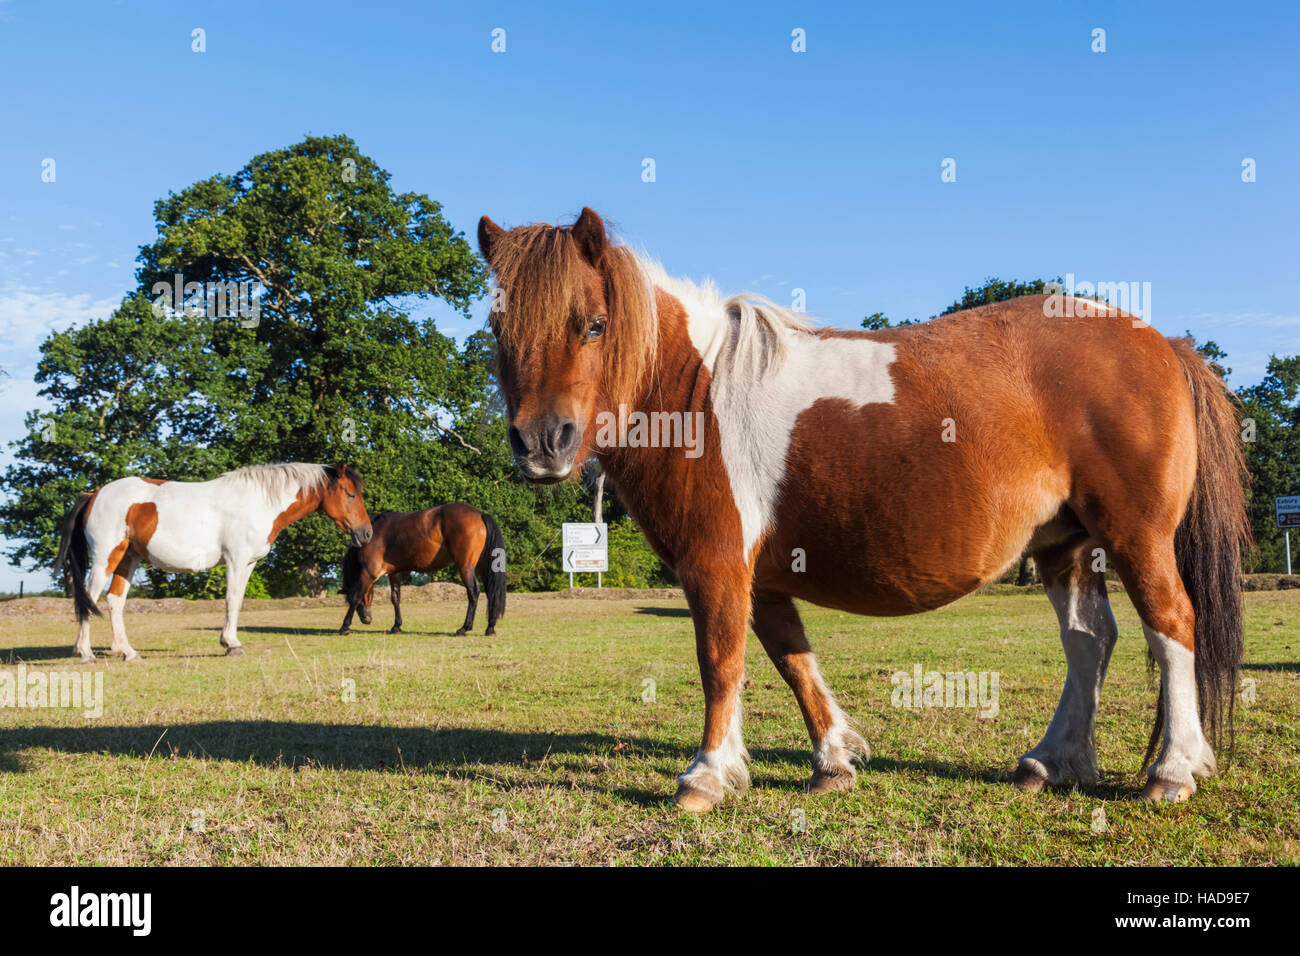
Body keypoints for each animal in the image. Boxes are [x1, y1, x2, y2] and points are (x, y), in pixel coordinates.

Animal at [52, 463, 372, 662]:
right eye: (350, 494)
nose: (366, 533)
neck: (258, 502)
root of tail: (94, 494)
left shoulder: (248, 564)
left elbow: (238, 600)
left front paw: (230, 642)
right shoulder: (236, 560)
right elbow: (231, 600)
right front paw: (232, 644)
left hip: (127, 559)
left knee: (114, 601)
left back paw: (127, 652)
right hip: (106, 557)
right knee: (88, 597)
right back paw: (85, 653)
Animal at [338, 504, 507, 637]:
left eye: (347, 595)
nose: (366, 619)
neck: (374, 534)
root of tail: (480, 514)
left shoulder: (369, 572)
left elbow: (356, 596)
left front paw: (345, 627)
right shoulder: (394, 573)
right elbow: (395, 598)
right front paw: (396, 626)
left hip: (465, 566)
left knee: (473, 593)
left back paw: (464, 628)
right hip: (482, 567)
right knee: (491, 592)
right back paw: (490, 628)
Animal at [476, 207, 1250, 813]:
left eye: (594, 324)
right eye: (496, 330)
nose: (542, 442)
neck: (694, 392)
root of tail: (1163, 344)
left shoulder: (716, 565)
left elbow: (721, 663)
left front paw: (707, 775)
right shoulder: (763, 577)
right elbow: (793, 660)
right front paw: (833, 761)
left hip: (1136, 537)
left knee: (1171, 624)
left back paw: (1173, 771)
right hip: (1065, 545)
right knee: (1089, 641)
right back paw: (1048, 761)